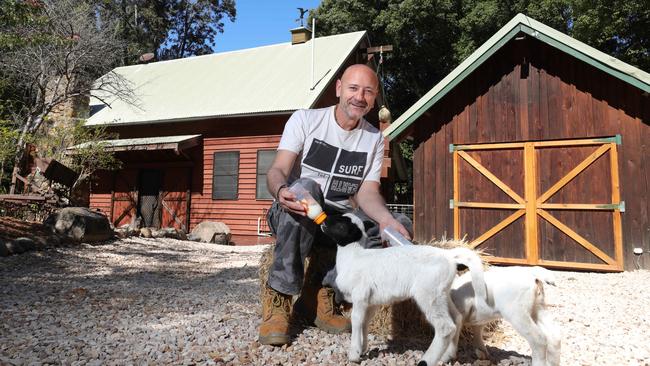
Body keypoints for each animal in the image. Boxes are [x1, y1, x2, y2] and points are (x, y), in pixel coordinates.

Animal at [322, 213, 488, 364]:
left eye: (341, 225)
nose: (323, 222)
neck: (353, 257)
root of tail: (448, 256)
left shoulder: (360, 294)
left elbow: (356, 320)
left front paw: (354, 354)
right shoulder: (371, 301)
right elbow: (365, 321)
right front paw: (363, 350)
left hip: (428, 293)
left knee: (445, 327)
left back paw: (426, 360)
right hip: (441, 293)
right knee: (457, 318)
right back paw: (448, 356)